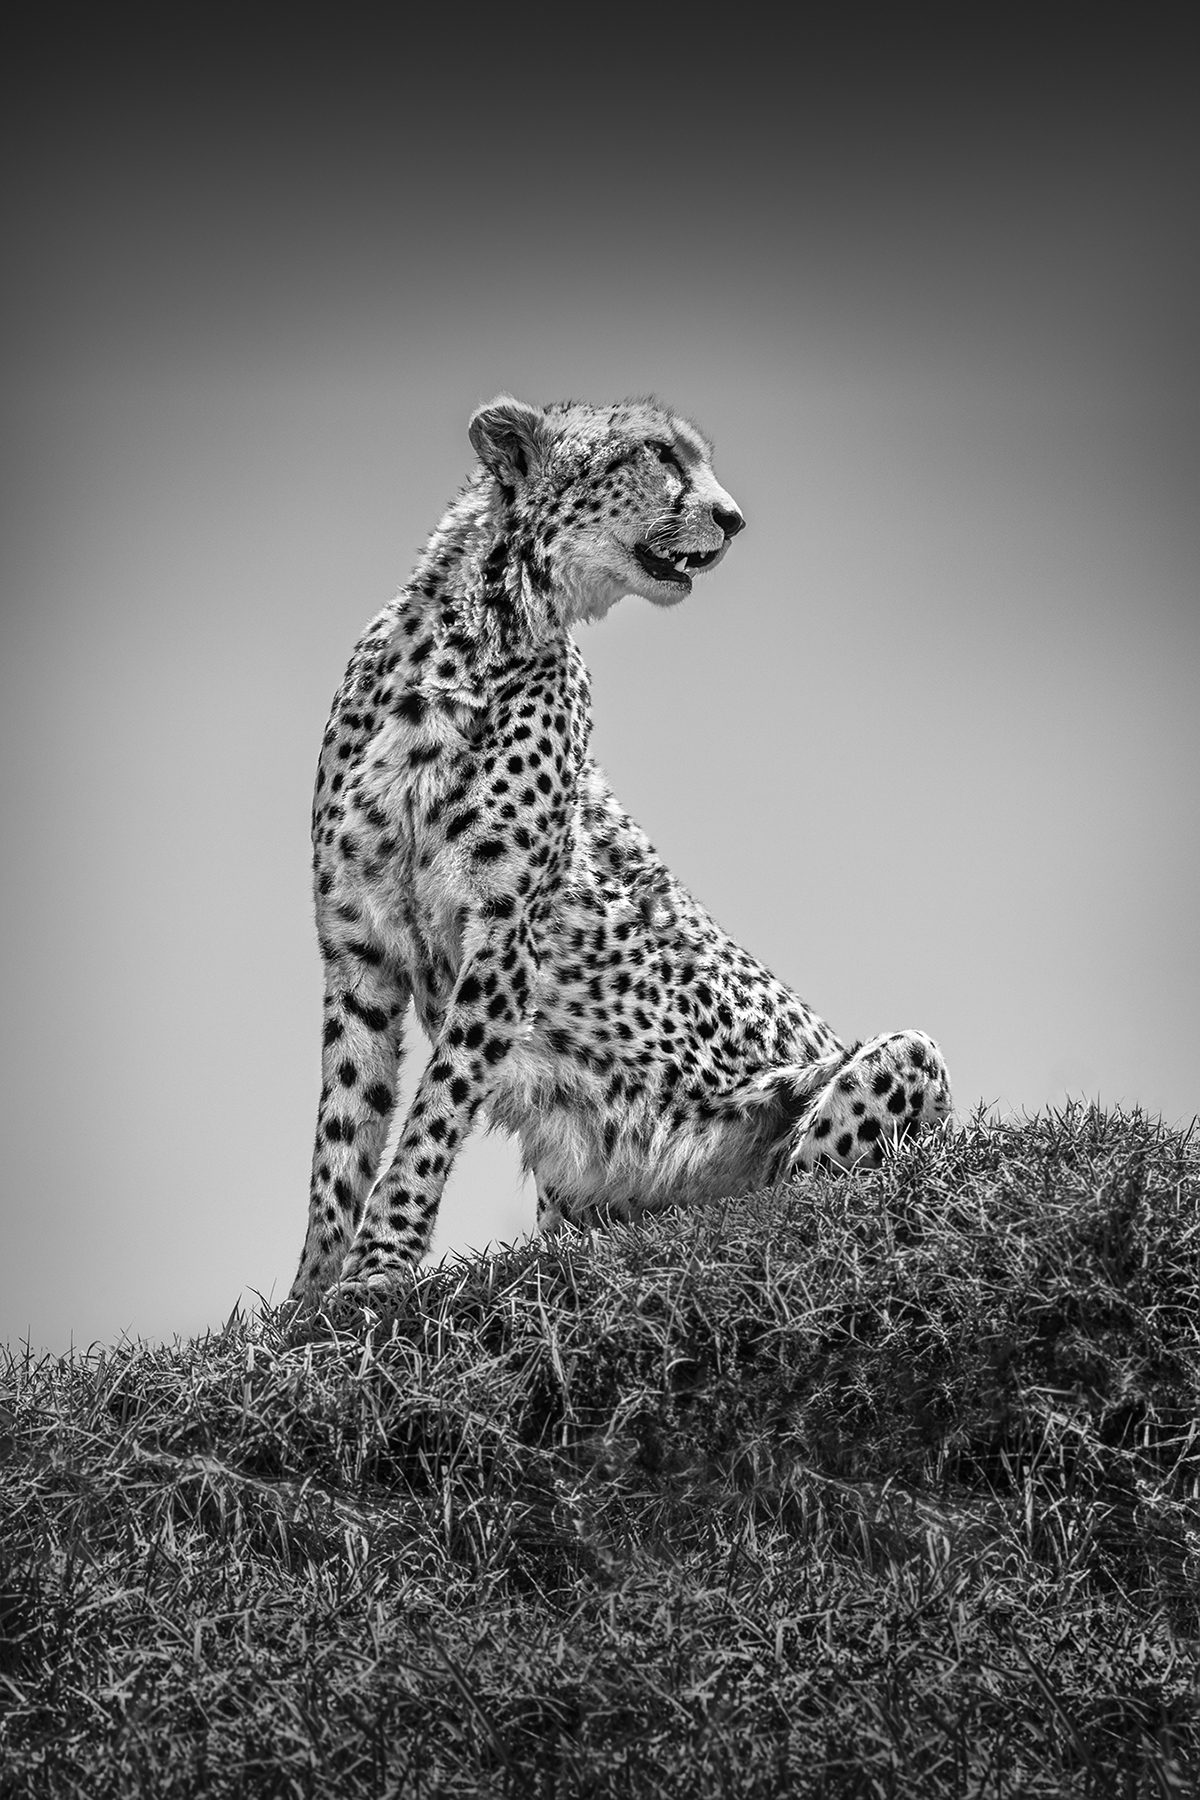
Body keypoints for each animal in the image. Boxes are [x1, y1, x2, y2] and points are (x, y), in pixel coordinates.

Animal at [286, 394, 949, 1303]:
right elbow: (342, 1135)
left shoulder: (505, 943)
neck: (470, 633)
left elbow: (431, 1114)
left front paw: (379, 1266)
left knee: (790, 1202)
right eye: (656, 453)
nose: (733, 518)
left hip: (893, 1068)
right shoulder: (360, 951)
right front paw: (306, 1305)